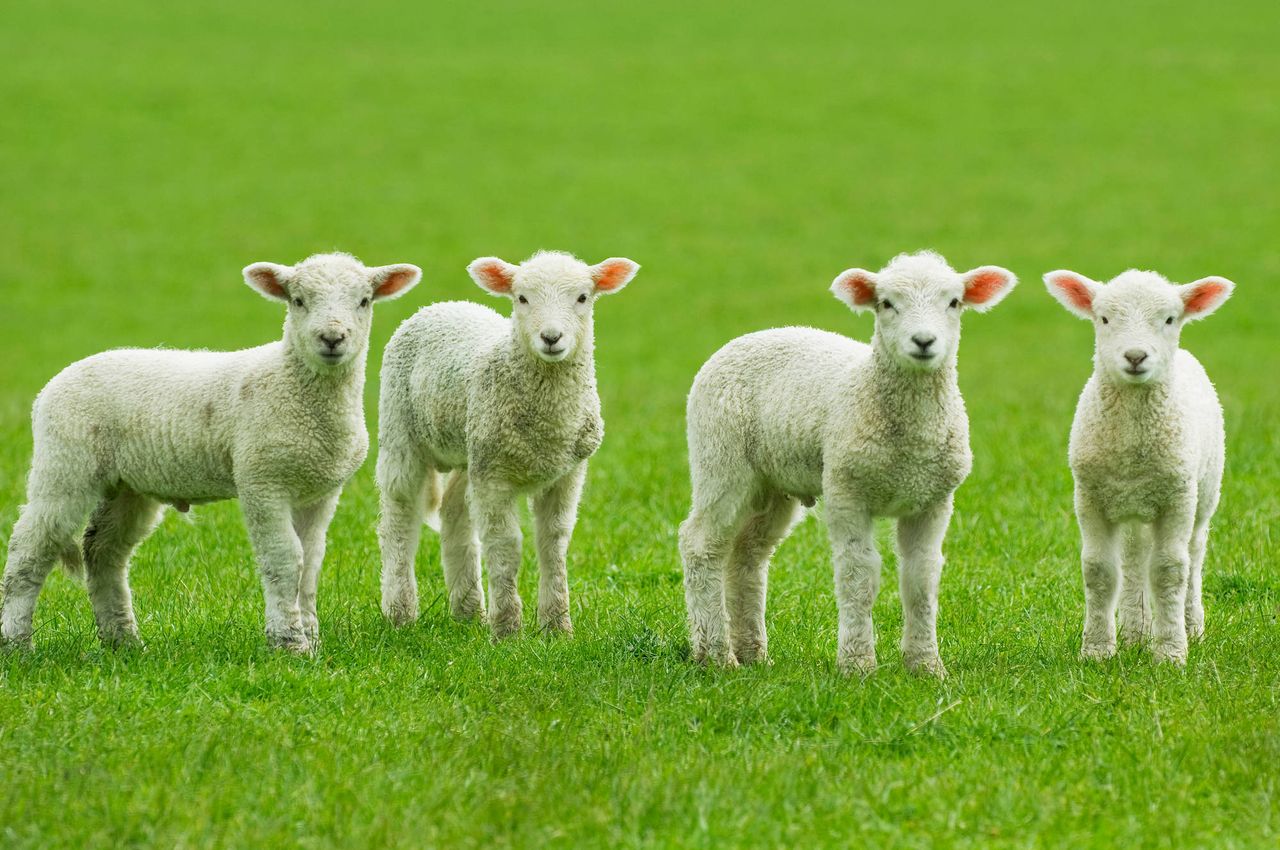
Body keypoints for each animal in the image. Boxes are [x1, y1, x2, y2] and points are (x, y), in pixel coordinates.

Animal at [0, 253, 421, 652]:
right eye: (298, 300)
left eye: (364, 301)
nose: (332, 338)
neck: (291, 385)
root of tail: (54, 383)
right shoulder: (262, 481)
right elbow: (285, 560)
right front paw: (289, 643)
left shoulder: (320, 491)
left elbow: (311, 564)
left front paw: (311, 640)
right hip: (65, 463)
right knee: (30, 548)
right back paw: (17, 644)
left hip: (127, 486)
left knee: (103, 552)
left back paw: (124, 643)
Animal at [376, 250, 638, 638]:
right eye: (522, 298)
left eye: (582, 298)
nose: (551, 337)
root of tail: (442, 305)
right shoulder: (495, 477)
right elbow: (505, 544)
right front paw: (508, 629)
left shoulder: (567, 473)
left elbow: (554, 543)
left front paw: (557, 627)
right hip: (402, 430)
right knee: (399, 518)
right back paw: (400, 613)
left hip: (473, 449)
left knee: (454, 513)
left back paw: (468, 611)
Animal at [679, 251, 1016, 677]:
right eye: (886, 303)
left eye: (954, 302)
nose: (924, 341)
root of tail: (749, 336)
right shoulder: (846, 491)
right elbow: (859, 574)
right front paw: (857, 664)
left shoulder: (933, 500)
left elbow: (921, 577)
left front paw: (925, 666)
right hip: (721, 459)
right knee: (701, 544)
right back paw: (717, 655)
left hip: (772, 485)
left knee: (748, 555)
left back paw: (754, 652)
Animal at [1044, 268, 1233, 665]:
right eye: (1103, 319)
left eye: (1170, 319)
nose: (1135, 356)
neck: (1131, 445)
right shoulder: (1090, 498)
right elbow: (1099, 571)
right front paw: (1098, 650)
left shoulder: (1177, 499)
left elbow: (1169, 571)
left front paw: (1171, 653)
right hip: (1132, 507)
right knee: (1133, 563)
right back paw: (1135, 634)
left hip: (1204, 495)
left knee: (1193, 555)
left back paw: (1191, 627)